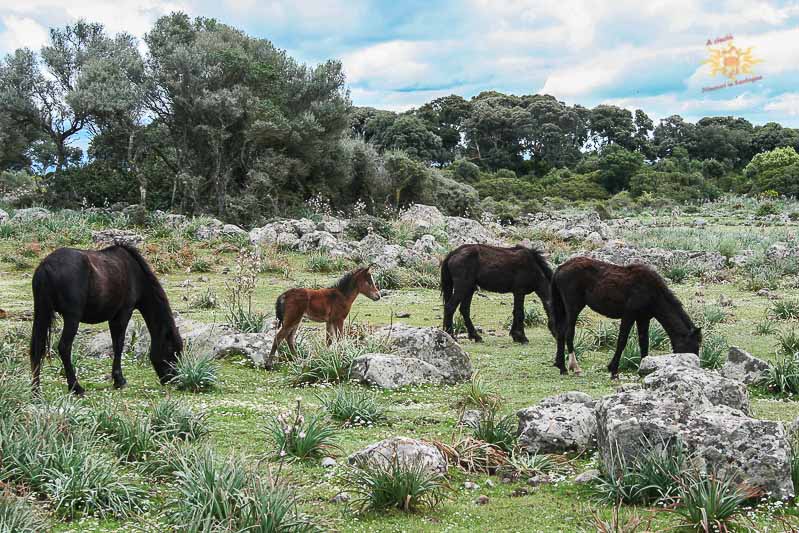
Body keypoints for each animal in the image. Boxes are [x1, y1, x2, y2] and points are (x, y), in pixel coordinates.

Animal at [30, 243, 183, 392]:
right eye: (172, 350)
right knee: (64, 347)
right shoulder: (123, 313)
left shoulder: (113, 317)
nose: (175, 380)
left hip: (42, 312)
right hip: (71, 318)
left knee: (37, 348)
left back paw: (36, 389)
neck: (135, 273)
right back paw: (76, 387)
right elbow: (118, 345)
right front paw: (119, 380)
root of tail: (46, 265)